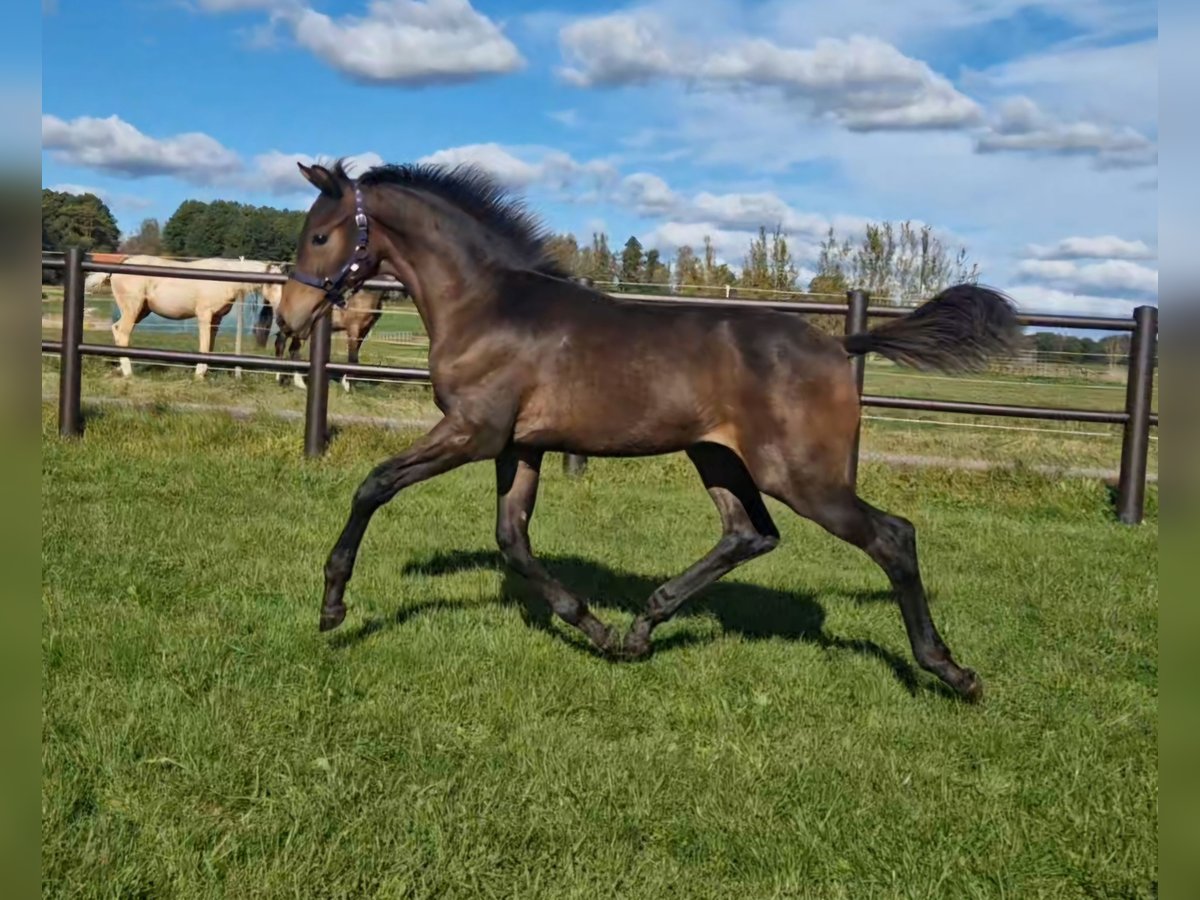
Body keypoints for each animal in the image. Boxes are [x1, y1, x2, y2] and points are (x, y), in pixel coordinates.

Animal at [108, 255, 285, 379]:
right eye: (271, 283)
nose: (281, 305)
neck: (224, 277)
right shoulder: (204, 315)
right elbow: (204, 346)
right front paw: (199, 375)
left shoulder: (216, 319)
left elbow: (210, 346)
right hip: (133, 309)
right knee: (123, 333)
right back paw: (128, 372)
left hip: (141, 311)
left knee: (117, 329)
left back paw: (120, 368)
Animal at [276, 158, 1017, 700]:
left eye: (320, 235)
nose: (289, 318)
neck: (488, 306)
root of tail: (842, 344)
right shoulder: (519, 446)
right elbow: (512, 540)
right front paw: (595, 630)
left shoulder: (473, 432)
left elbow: (375, 485)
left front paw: (333, 607)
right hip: (717, 458)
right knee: (749, 533)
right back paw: (642, 627)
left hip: (802, 476)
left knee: (892, 537)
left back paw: (951, 671)